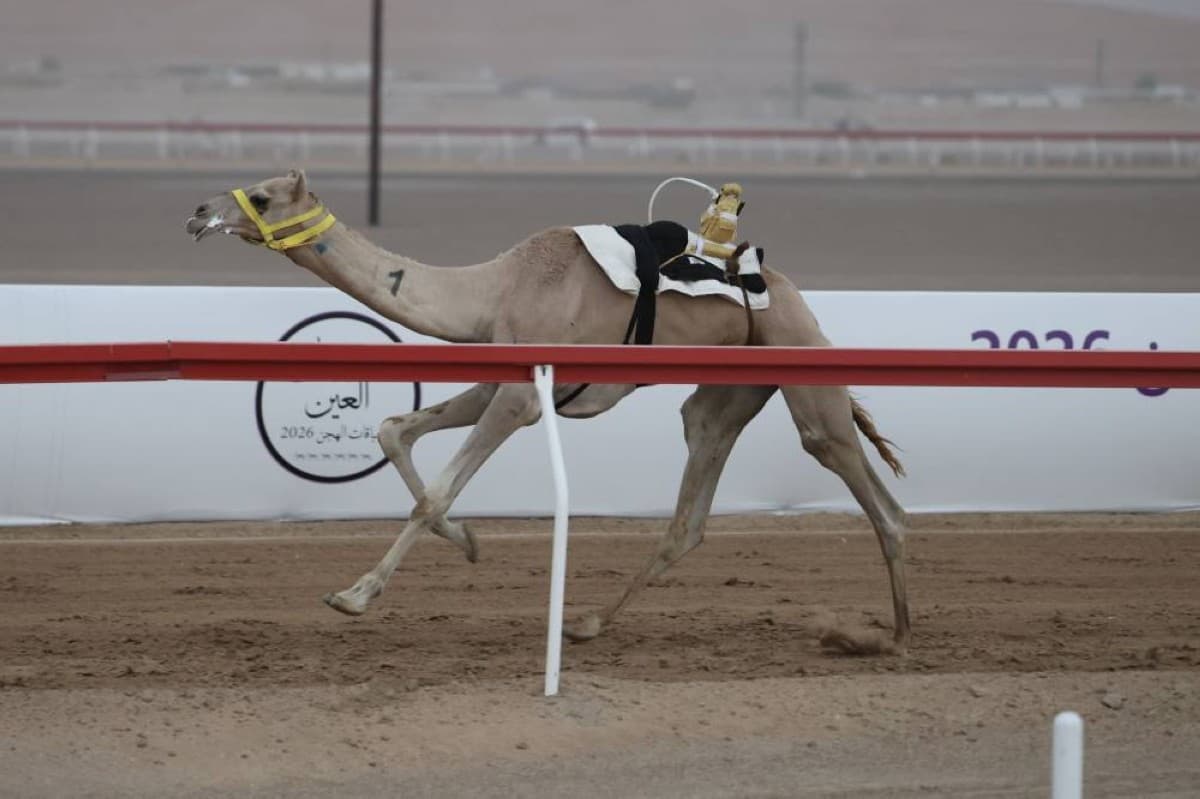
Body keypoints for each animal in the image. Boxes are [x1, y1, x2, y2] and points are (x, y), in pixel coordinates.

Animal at [184, 170, 912, 654]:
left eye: (264, 195)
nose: (196, 211)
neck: (494, 288)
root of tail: (783, 286)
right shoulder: (502, 380)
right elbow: (394, 431)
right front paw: (468, 540)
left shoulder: (519, 399)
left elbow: (432, 491)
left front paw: (355, 595)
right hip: (729, 391)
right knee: (690, 507)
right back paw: (588, 623)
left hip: (798, 358)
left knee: (863, 484)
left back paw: (896, 635)